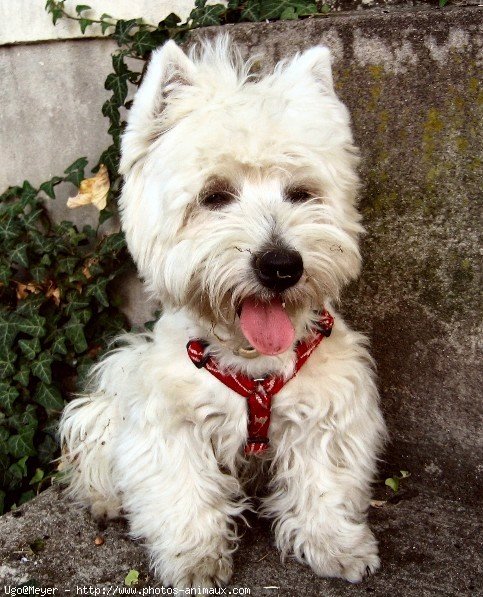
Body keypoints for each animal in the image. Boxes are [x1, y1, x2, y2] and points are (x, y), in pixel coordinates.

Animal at [59, 37, 386, 588]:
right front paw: (194, 560)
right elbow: (184, 493)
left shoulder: (327, 410)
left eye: (301, 193)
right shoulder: (170, 422)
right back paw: (105, 500)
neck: (250, 360)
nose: (281, 265)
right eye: (214, 196)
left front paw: (336, 546)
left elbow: (324, 483)